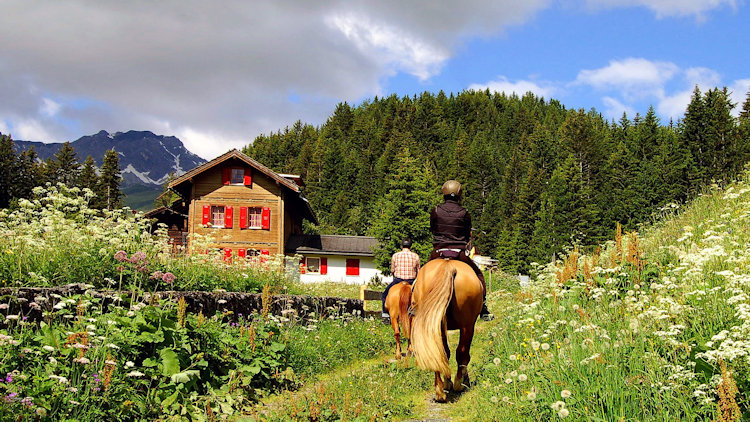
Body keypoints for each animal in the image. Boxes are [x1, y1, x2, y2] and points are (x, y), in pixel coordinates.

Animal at [408, 258, 484, 402]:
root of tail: (448, 266)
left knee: (438, 352)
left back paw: (440, 391)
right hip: (467, 326)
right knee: (462, 353)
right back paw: (458, 384)